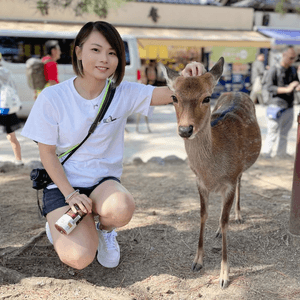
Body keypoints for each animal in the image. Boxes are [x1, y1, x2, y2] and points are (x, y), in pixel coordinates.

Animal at [163, 56, 262, 288]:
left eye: (206, 98)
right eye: (174, 97)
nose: (185, 130)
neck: (211, 170)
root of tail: (236, 91)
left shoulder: (230, 181)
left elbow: (225, 222)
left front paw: (224, 275)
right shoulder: (199, 182)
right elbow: (202, 215)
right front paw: (197, 261)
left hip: (241, 169)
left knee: (241, 183)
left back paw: (238, 215)